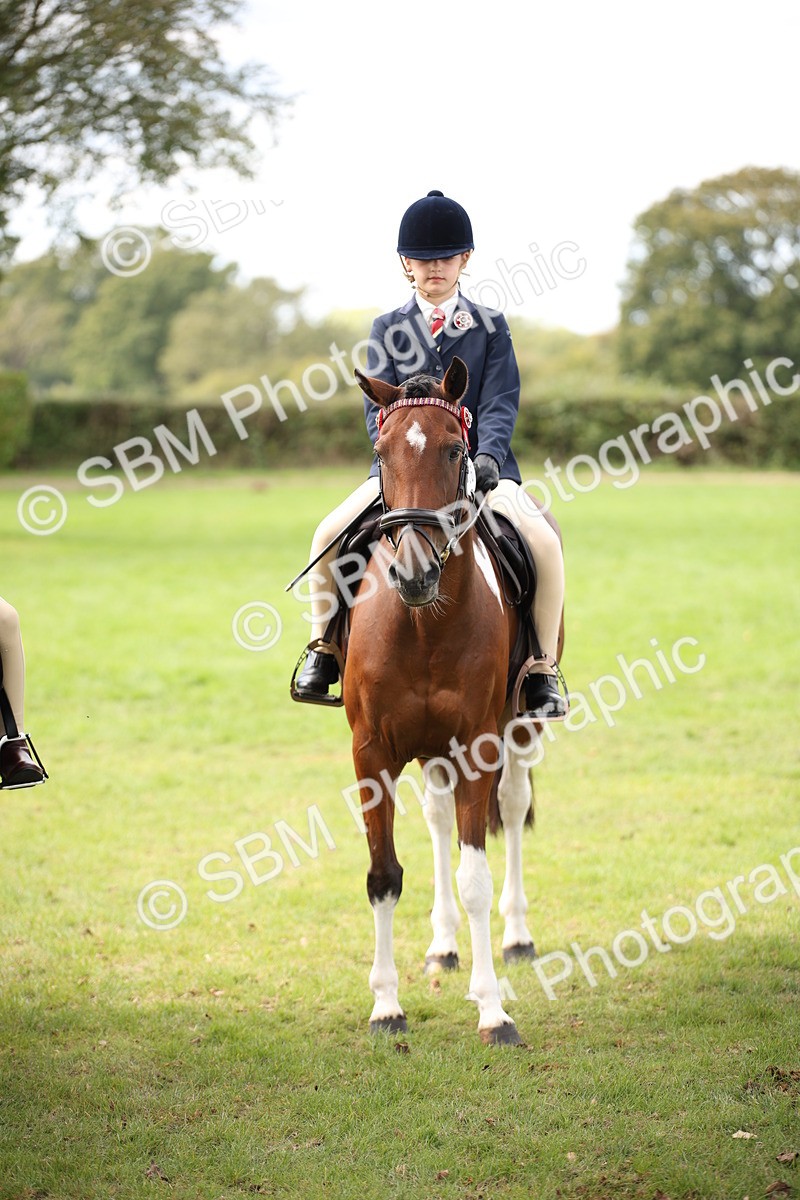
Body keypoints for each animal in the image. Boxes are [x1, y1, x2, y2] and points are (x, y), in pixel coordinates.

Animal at [343, 355, 563, 1045]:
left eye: (452, 449)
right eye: (381, 452)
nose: (413, 575)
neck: (423, 621)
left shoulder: (477, 745)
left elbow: (476, 878)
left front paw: (493, 1010)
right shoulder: (372, 753)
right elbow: (383, 875)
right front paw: (386, 1007)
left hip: (518, 729)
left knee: (512, 808)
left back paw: (515, 937)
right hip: (429, 750)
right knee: (438, 820)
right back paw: (443, 947)